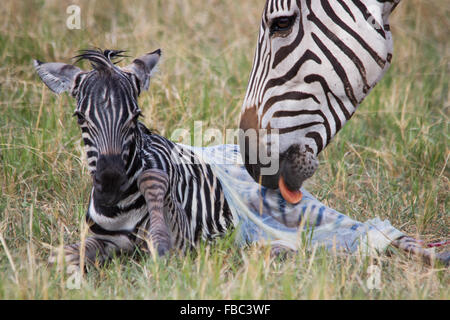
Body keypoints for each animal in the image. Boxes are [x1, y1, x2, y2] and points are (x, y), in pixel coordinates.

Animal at [33, 48, 234, 266]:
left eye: (136, 116)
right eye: (80, 117)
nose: (110, 185)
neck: (119, 209)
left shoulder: (181, 241)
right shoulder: (108, 240)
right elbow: (72, 252)